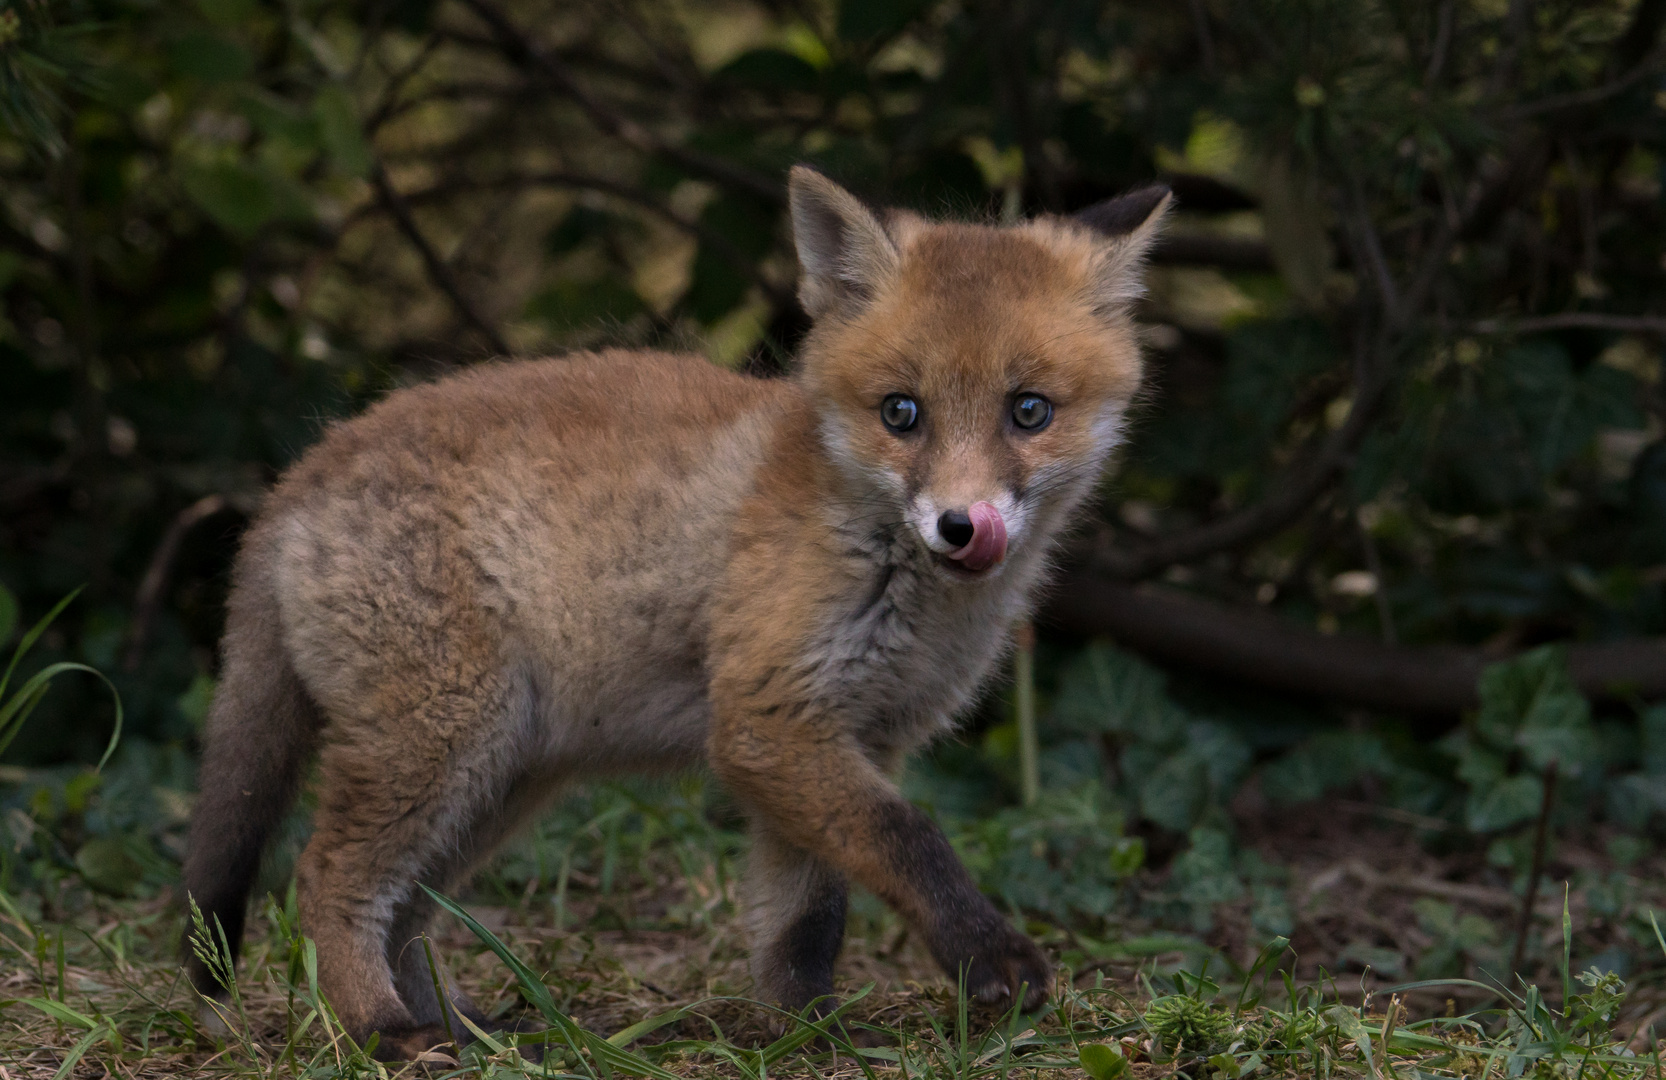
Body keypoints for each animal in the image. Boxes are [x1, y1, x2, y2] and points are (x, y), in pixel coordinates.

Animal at [182, 164, 1172, 1060]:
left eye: (1028, 411)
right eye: (902, 413)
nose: (961, 526)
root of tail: (303, 470)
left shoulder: (849, 738)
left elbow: (806, 920)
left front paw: (809, 1034)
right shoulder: (769, 721)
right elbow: (911, 839)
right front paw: (987, 960)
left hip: (501, 772)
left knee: (411, 909)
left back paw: (466, 1031)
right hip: (441, 743)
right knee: (326, 881)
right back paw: (380, 1031)